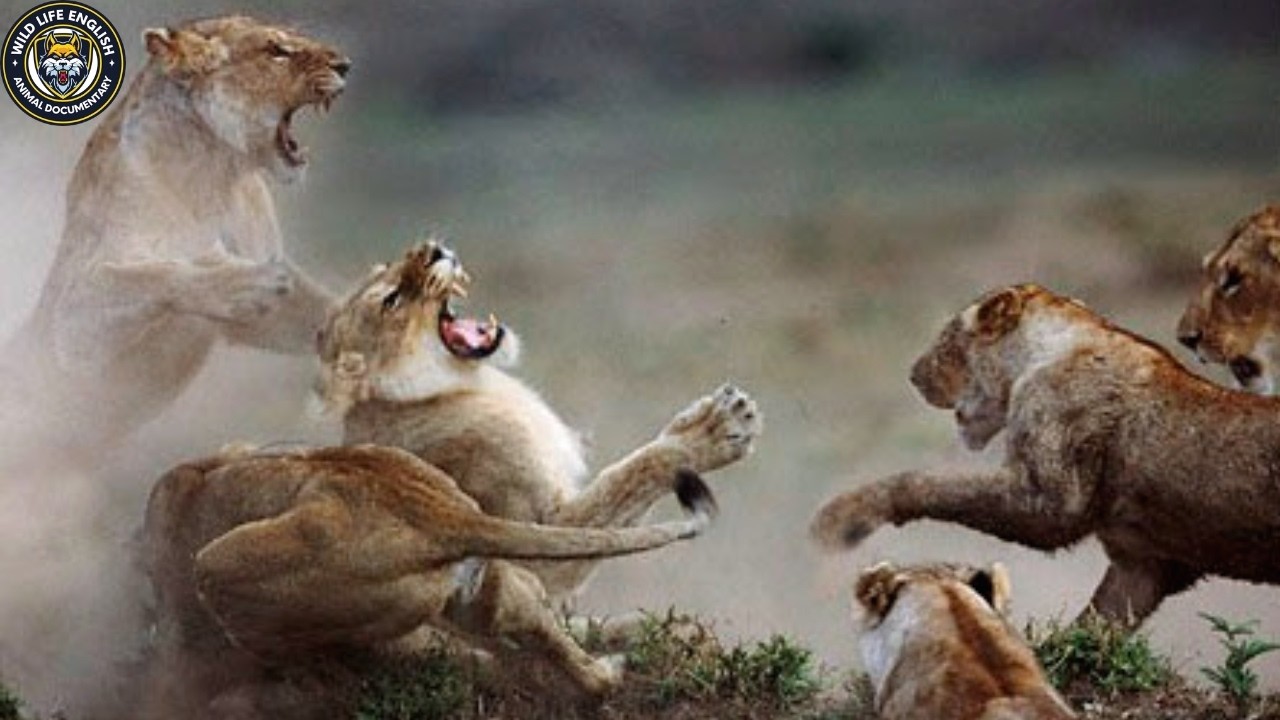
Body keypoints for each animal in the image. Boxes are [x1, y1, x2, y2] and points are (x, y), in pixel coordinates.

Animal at [0, 15, 349, 465]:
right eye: (275, 50)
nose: (345, 66)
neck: (216, 170)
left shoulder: (272, 304)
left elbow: (324, 310)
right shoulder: (70, 336)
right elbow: (150, 274)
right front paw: (239, 283)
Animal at [141, 443, 718, 716]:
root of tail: (437, 512)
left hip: (222, 569)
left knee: (330, 685)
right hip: (476, 593)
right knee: (541, 639)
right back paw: (602, 673)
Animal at [314, 241, 763, 603]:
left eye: (389, 264)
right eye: (391, 300)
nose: (433, 249)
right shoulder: (530, 545)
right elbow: (629, 475)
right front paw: (715, 427)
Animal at [812, 283, 1280, 627]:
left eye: (946, 340)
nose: (913, 375)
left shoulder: (1052, 502)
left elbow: (934, 483)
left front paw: (845, 515)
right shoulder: (1145, 563)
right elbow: (1094, 629)